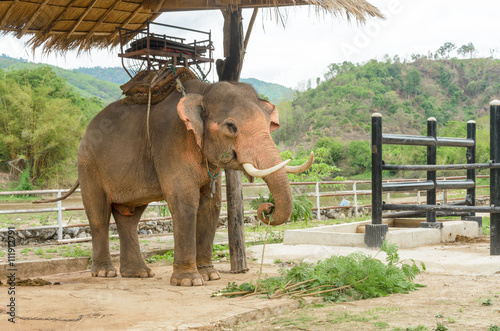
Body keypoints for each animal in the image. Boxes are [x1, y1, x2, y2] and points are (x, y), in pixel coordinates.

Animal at [38, 79, 312, 286]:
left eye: (269, 125)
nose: (267, 208)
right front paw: (189, 281)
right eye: (231, 126)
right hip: (89, 166)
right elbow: (184, 201)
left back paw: (139, 274)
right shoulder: (171, 140)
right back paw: (105, 273)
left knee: (129, 217)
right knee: (99, 214)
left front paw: (210, 275)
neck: (203, 91)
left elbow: (211, 205)